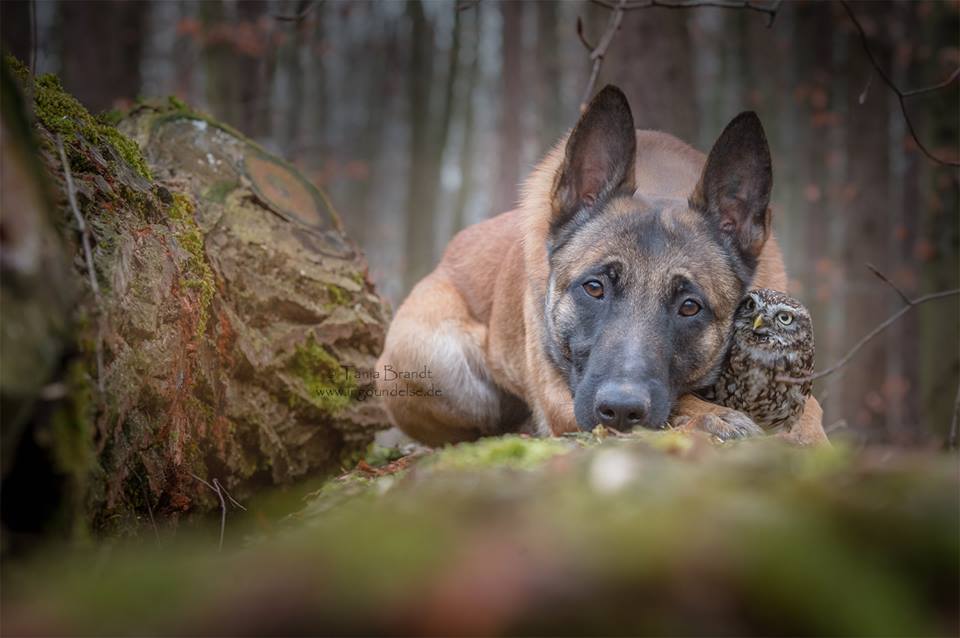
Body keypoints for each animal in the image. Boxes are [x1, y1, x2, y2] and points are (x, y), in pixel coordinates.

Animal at [374, 85, 824, 448]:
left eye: (690, 306)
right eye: (594, 288)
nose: (621, 410)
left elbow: (811, 411)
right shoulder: (563, 399)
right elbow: (677, 405)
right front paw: (708, 416)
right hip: (432, 359)